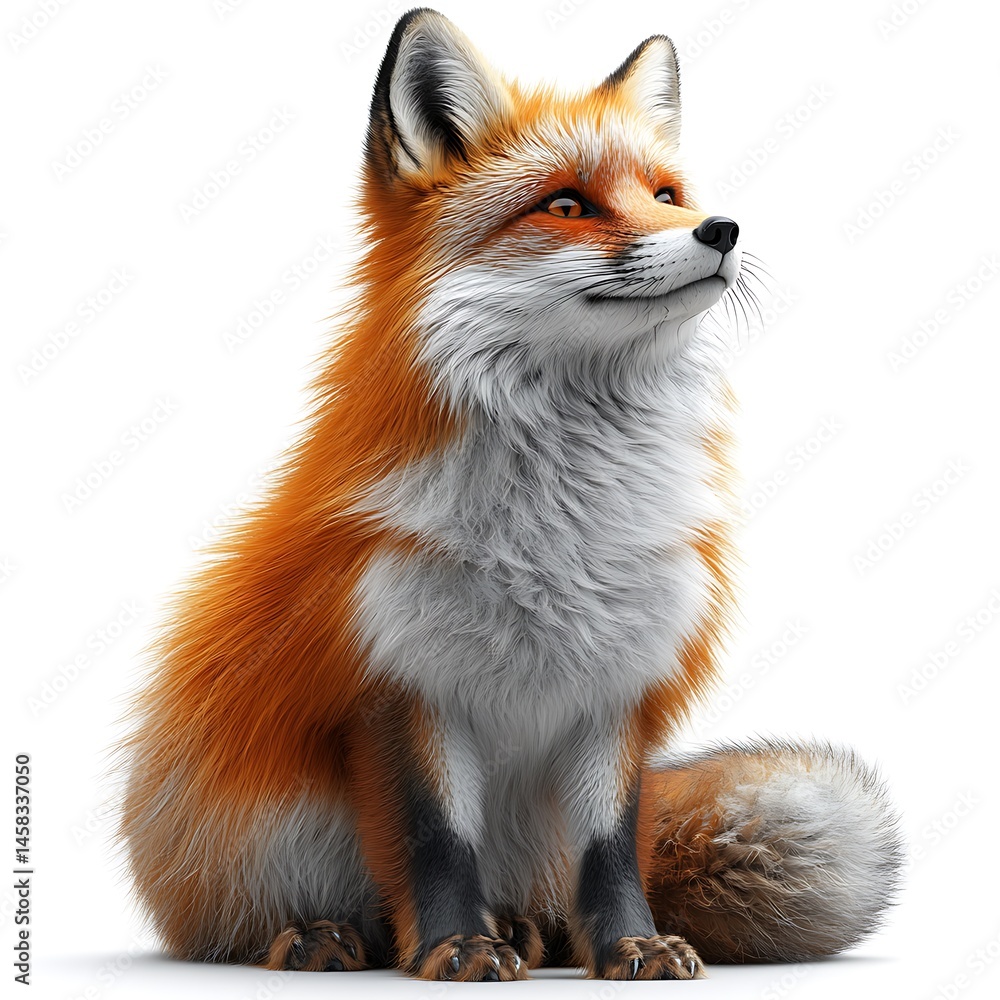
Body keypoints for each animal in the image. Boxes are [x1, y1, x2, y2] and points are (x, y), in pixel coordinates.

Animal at [117, 8, 902, 982]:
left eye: (668, 195)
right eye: (566, 205)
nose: (722, 229)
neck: (561, 531)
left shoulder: (618, 688)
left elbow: (610, 850)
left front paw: (630, 945)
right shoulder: (399, 683)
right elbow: (434, 841)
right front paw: (455, 946)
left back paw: (525, 930)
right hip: (252, 827)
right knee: (259, 920)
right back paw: (324, 933)